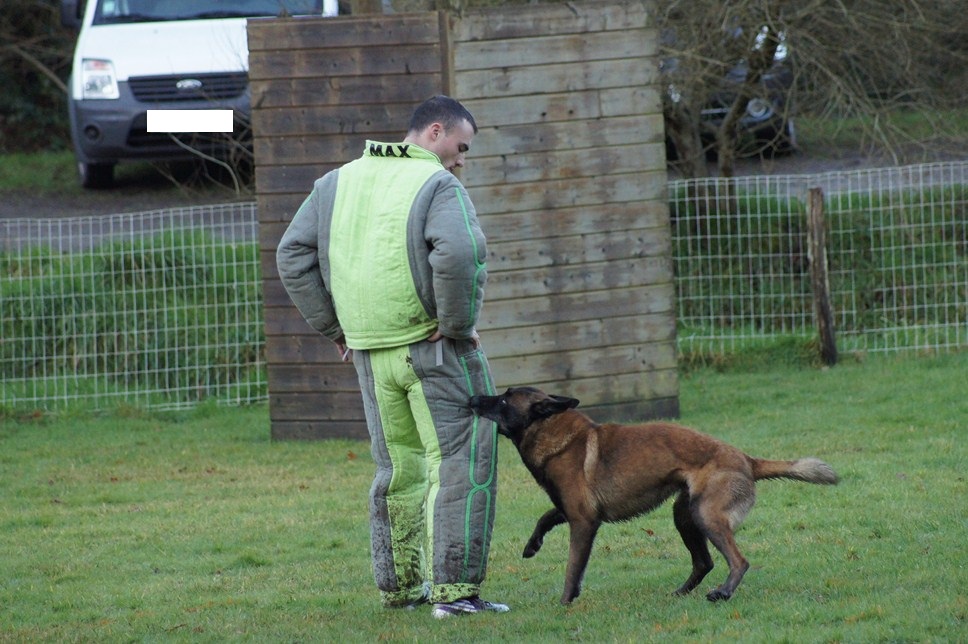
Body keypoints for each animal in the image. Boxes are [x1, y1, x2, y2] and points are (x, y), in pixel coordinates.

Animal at [466, 388, 836, 604]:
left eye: (503, 399)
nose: (472, 399)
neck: (554, 435)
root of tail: (747, 459)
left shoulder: (583, 521)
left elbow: (573, 568)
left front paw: (565, 603)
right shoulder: (569, 508)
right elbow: (544, 517)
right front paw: (532, 545)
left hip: (707, 515)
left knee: (738, 561)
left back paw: (723, 592)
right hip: (684, 515)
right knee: (704, 562)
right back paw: (681, 593)